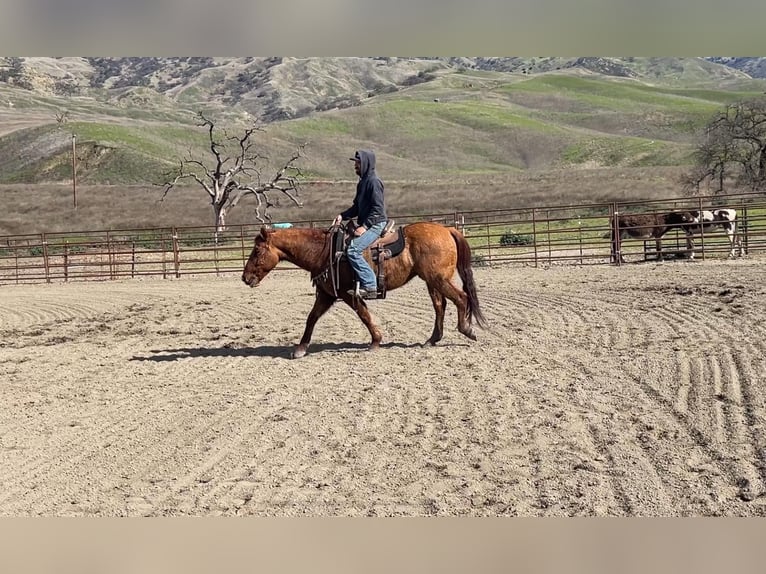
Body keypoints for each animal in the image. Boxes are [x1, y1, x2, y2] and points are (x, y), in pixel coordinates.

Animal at [243, 223, 488, 358]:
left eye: (257, 251)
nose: (245, 278)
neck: (324, 251)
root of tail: (447, 229)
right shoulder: (327, 295)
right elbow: (311, 318)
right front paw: (300, 348)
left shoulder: (347, 294)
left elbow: (364, 315)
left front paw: (376, 341)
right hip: (432, 281)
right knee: (440, 305)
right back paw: (433, 339)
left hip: (438, 279)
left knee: (460, 298)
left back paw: (466, 329)